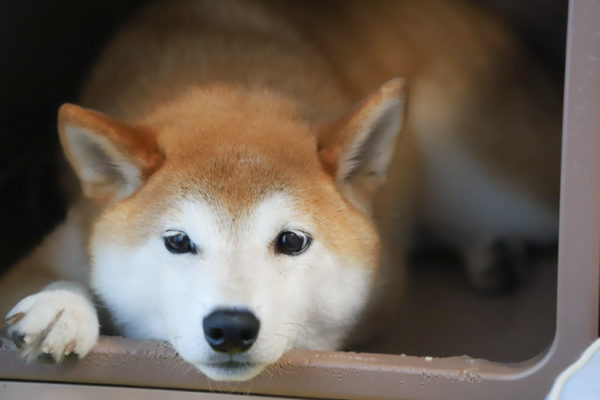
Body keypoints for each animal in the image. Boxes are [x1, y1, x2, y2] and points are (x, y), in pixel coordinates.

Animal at [1, 0, 564, 382]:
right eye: (178, 241)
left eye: (291, 241)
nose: (230, 327)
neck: (227, 81)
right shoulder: (70, 235)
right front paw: (59, 307)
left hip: (491, 184)